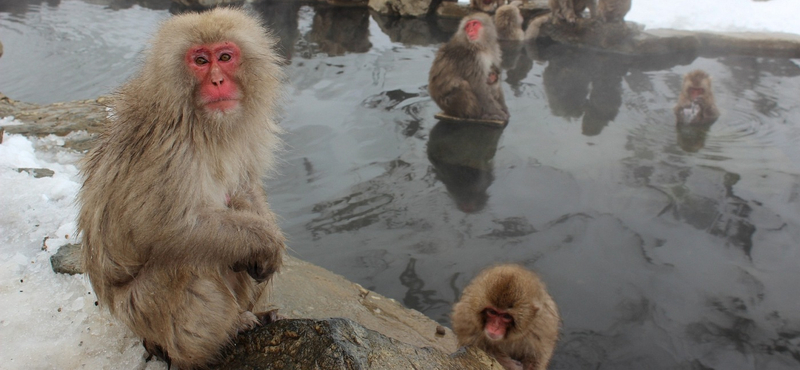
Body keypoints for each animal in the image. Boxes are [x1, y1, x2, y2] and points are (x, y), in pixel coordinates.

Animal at [77, 7, 288, 368]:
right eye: (200, 60)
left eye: (225, 57)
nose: (218, 81)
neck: (200, 122)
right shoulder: (169, 150)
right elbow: (171, 228)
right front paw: (266, 242)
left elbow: (244, 188)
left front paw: (267, 238)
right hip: (142, 311)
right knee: (187, 262)